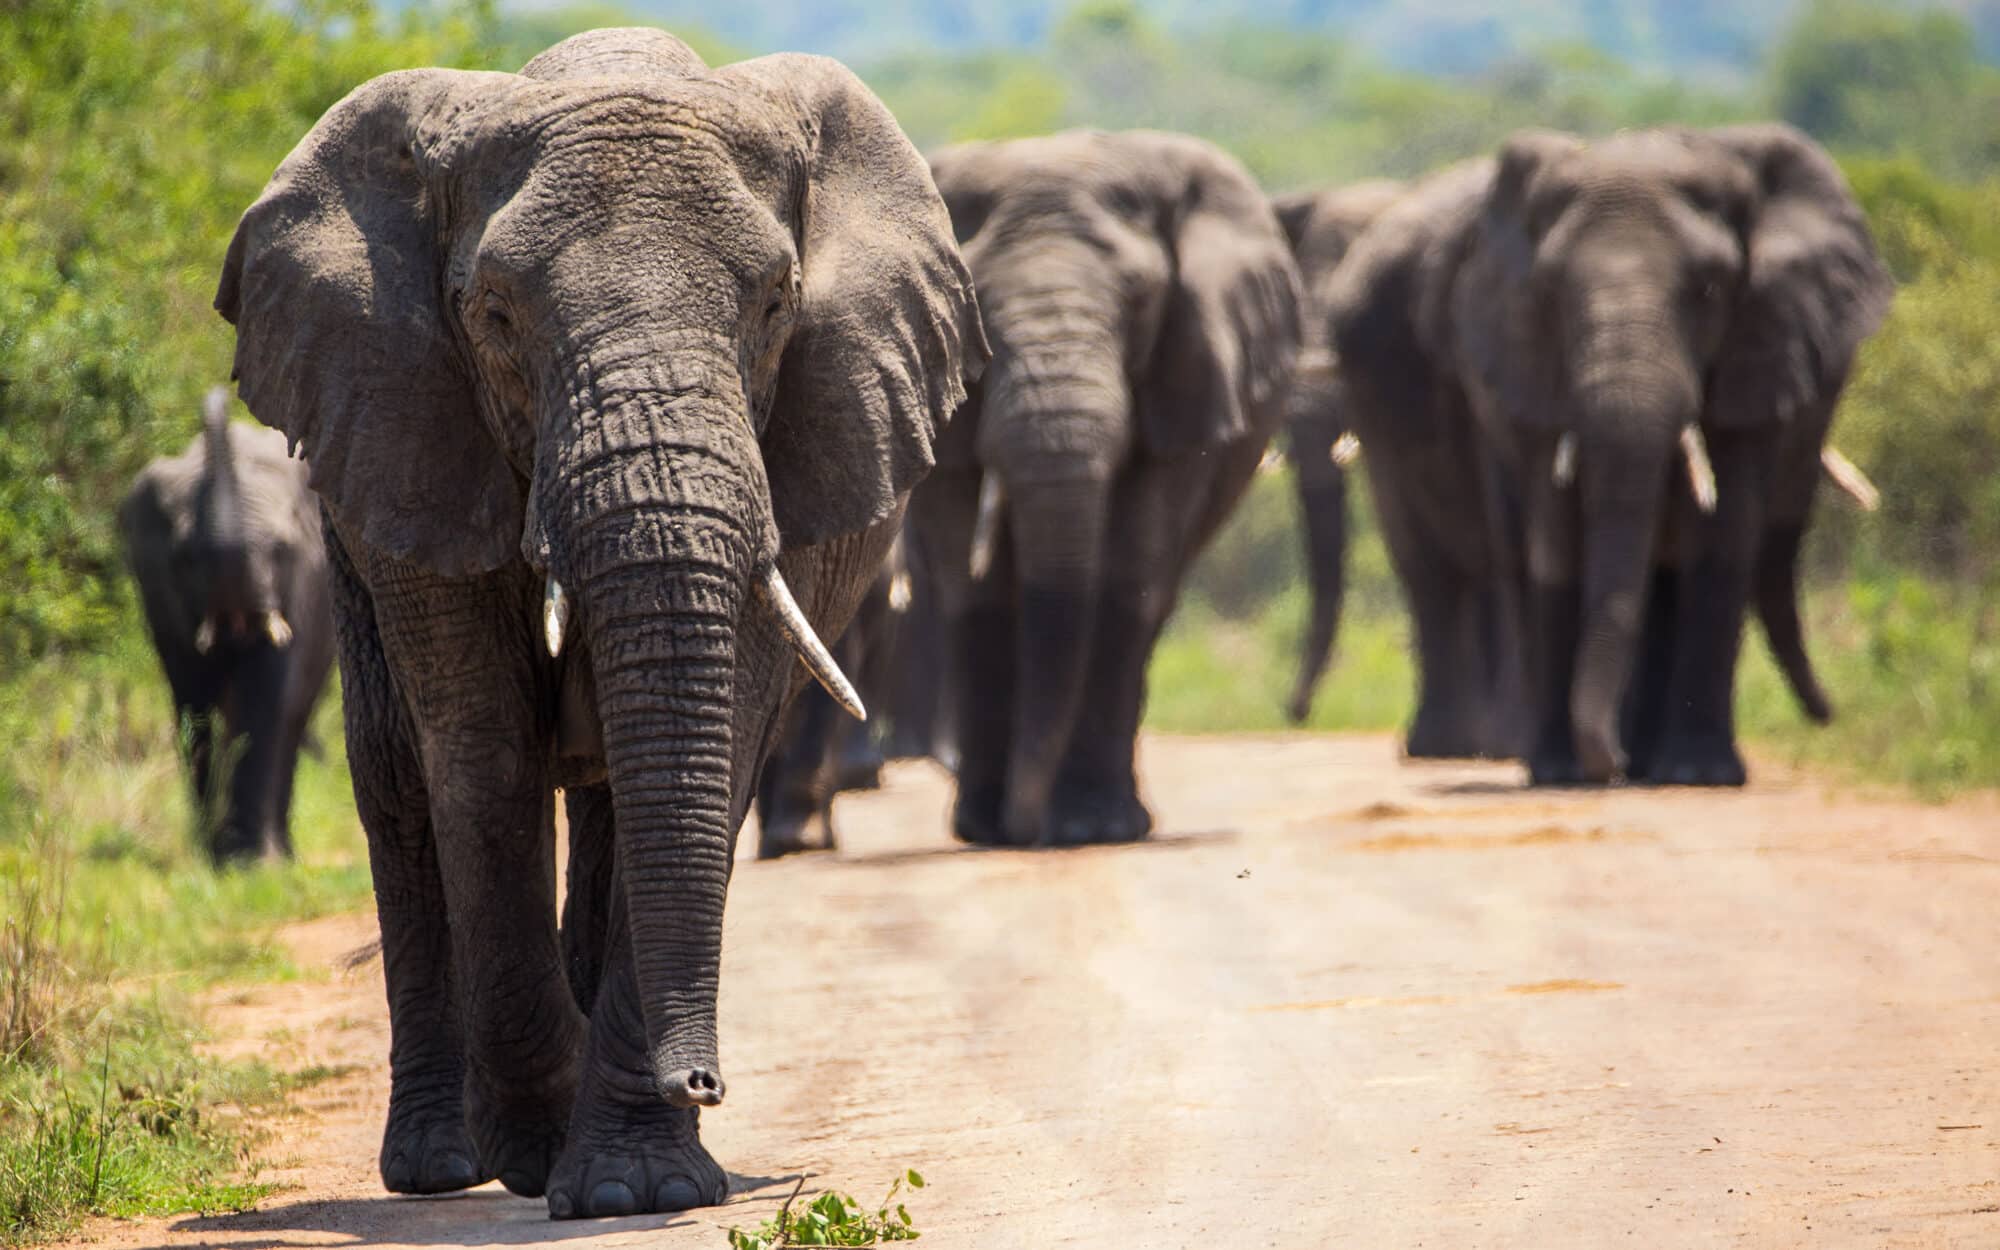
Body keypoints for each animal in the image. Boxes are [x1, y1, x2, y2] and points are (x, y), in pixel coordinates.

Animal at [120, 386, 335, 864]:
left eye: (280, 549)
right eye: (184, 557)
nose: (218, 394)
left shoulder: (303, 586)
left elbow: (264, 697)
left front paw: (252, 863)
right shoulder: (163, 598)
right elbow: (194, 703)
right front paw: (219, 857)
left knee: (291, 718)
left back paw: (281, 851)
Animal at [214, 27, 983, 1219]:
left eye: (776, 302)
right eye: (493, 314)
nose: (704, 1078)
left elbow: (715, 736)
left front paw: (632, 1186)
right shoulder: (416, 428)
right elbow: (482, 746)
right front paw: (541, 1147)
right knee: (397, 776)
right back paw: (440, 1163)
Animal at [917, 130, 1303, 847]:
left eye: (1141, 303)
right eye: (972, 310)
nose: (1026, 830)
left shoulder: (1185, 374)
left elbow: (1127, 570)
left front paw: (1089, 828)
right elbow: (975, 586)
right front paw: (983, 828)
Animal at [1325, 124, 1890, 786]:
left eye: (1709, 290)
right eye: (1549, 294)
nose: (1829, 715)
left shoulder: (1755, 352)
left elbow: (1720, 539)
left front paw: (1699, 776)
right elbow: (1555, 546)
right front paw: (1559, 772)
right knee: (1437, 566)